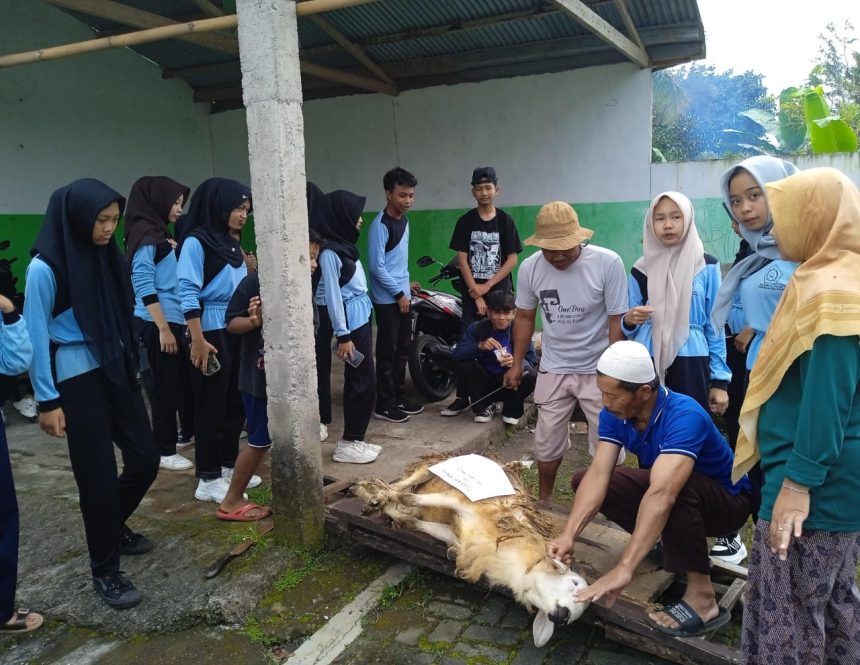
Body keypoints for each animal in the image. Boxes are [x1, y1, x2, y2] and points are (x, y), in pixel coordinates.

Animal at [352, 453, 589, 647]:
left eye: (576, 617)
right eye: (574, 582)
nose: (563, 616)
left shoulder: (454, 534)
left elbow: (413, 521)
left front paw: (396, 514)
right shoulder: (461, 501)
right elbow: (407, 497)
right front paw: (380, 499)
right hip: (431, 468)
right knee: (401, 484)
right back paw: (368, 492)